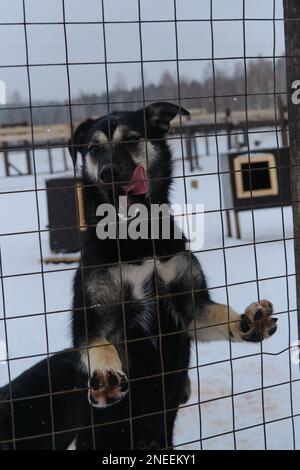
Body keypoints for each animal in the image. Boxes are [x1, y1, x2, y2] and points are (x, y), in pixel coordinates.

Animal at [0, 102, 278, 448]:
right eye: (93, 149)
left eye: (132, 138)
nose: (108, 173)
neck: (138, 237)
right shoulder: (93, 317)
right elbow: (99, 346)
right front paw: (106, 373)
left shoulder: (189, 308)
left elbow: (218, 314)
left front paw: (249, 322)